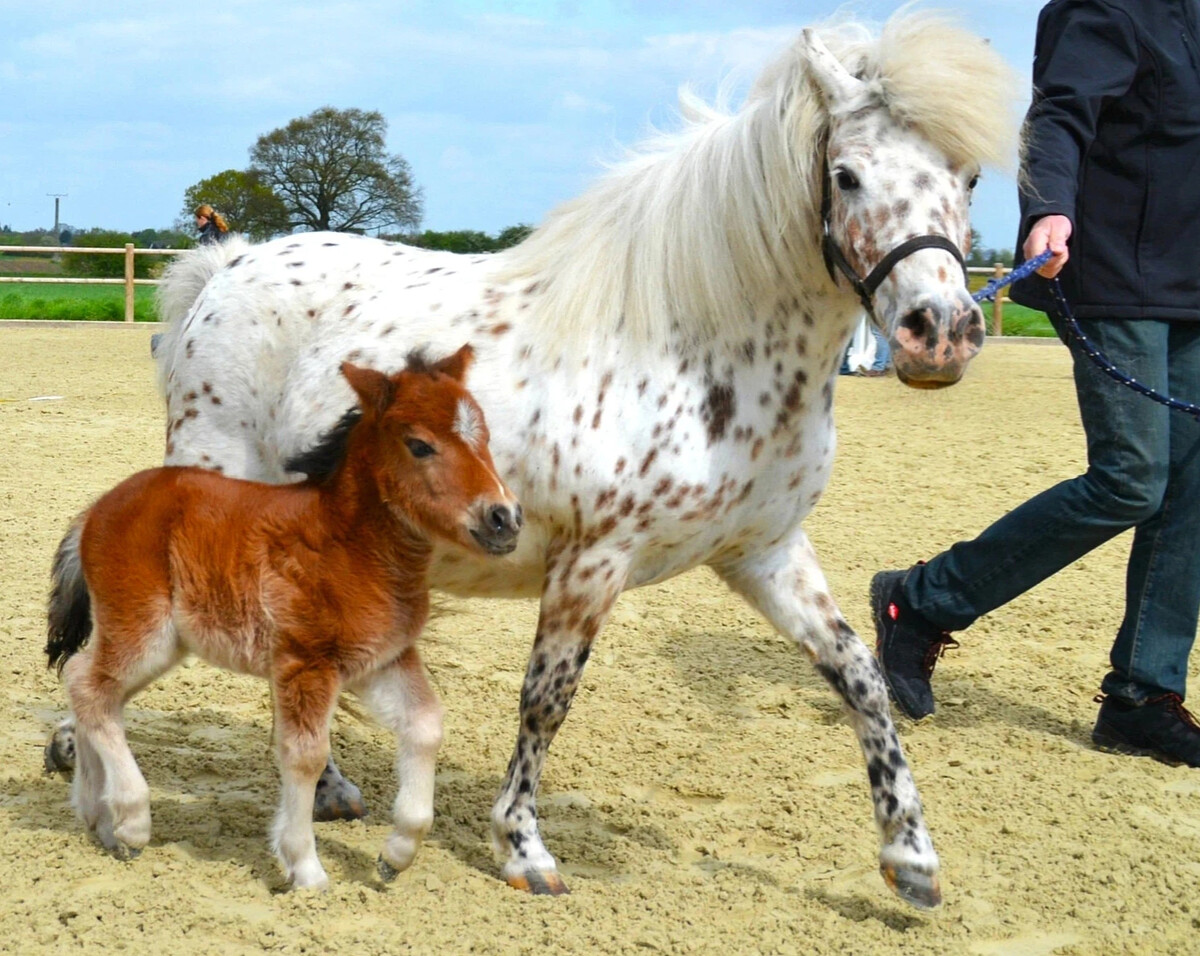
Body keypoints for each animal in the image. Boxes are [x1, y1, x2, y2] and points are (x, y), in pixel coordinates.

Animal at [51, 16, 1017, 911]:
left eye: (969, 177)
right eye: (847, 174)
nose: (940, 332)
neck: (697, 344)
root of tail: (227, 265)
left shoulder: (765, 553)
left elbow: (859, 677)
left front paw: (911, 858)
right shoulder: (593, 560)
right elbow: (547, 698)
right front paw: (522, 848)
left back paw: (315, 792)